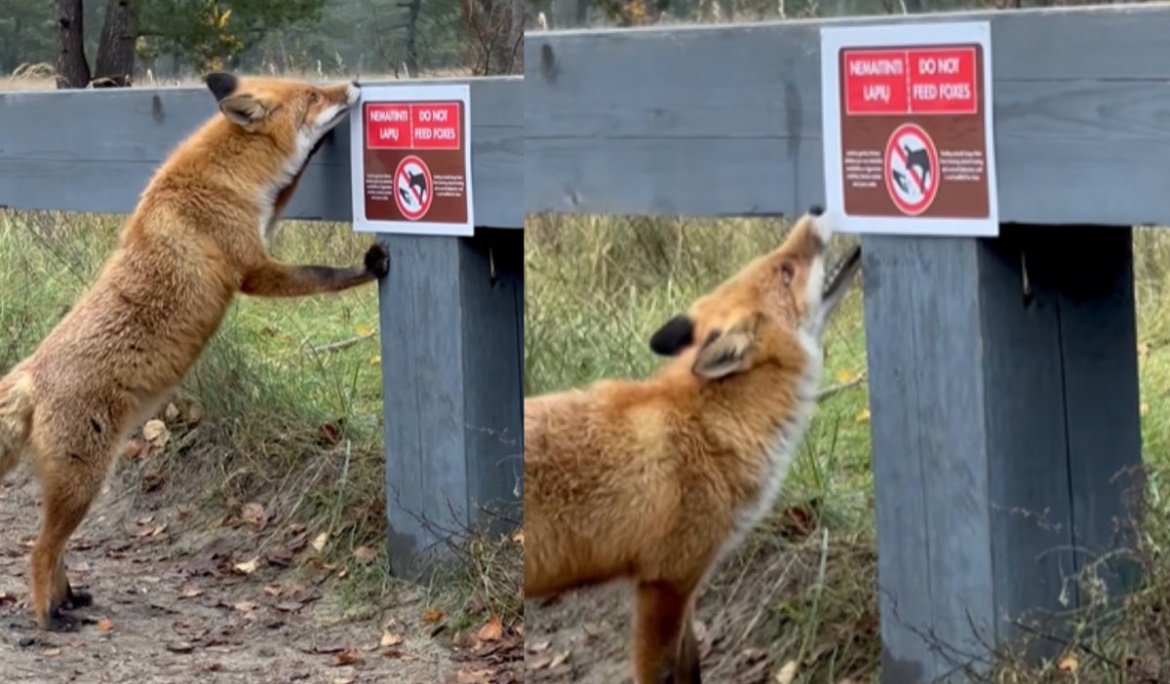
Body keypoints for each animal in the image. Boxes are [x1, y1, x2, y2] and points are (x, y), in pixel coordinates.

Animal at [0, 71, 389, 631]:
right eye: (314, 94)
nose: (355, 83)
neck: (215, 180)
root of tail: (29, 373)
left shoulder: (263, 221)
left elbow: (288, 188)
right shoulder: (253, 270)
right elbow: (320, 275)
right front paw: (366, 267)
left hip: (79, 483)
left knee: (58, 549)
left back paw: (67, 598)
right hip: (83, 480)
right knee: (39, 550)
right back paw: (49, 616)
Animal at [523, 207, 862, 684]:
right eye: (786, 270)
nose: (814, 210)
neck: (708, 425)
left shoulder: (689, 584)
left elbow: (692, 667)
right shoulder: (665, 582)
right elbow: (663, 672)